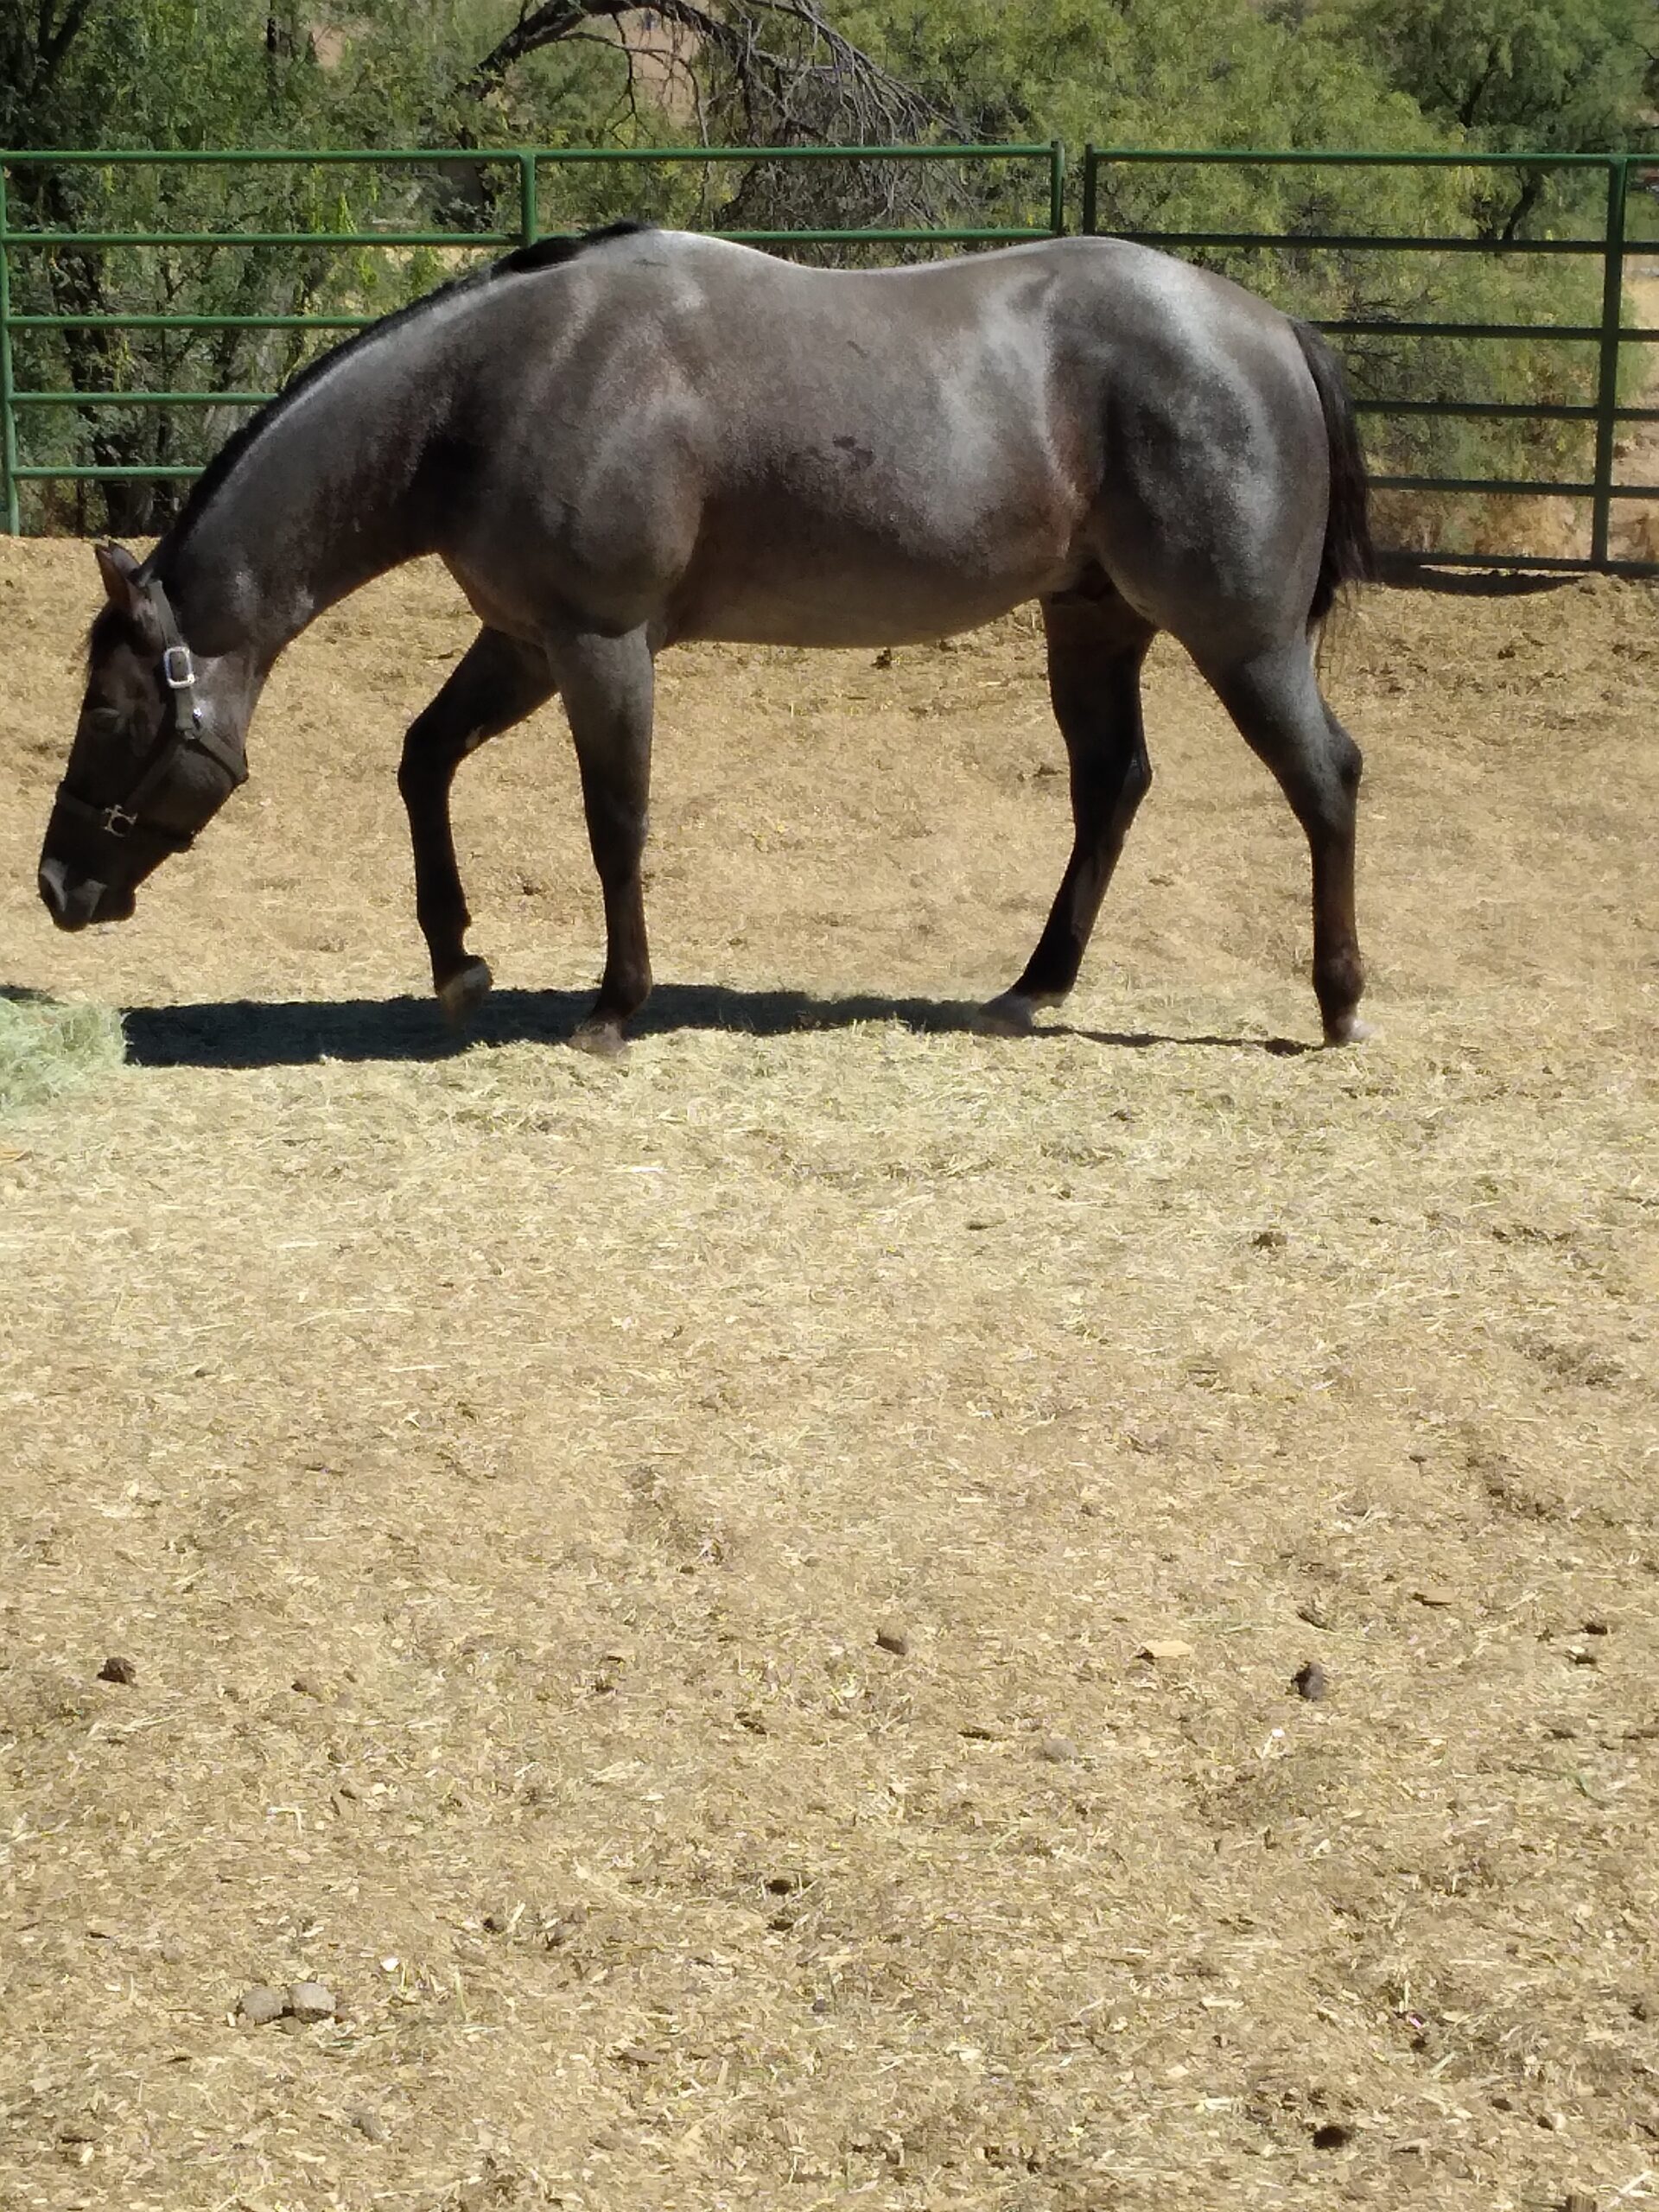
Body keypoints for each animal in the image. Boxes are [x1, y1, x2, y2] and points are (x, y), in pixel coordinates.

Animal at [37, 219, 1373, 1053]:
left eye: (107, 710)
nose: (56, 886)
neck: (496, 390)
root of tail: (1271, 329)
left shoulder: (601, 644)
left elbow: (614, 820)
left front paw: (612, 1008)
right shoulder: (525, 642)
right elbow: (423, 760)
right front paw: (458, 964)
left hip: (1242, 641)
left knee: (1324, 781)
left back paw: (1338, 1002)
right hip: (1093, 624)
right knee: (1111, 785)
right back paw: (1032, 987)